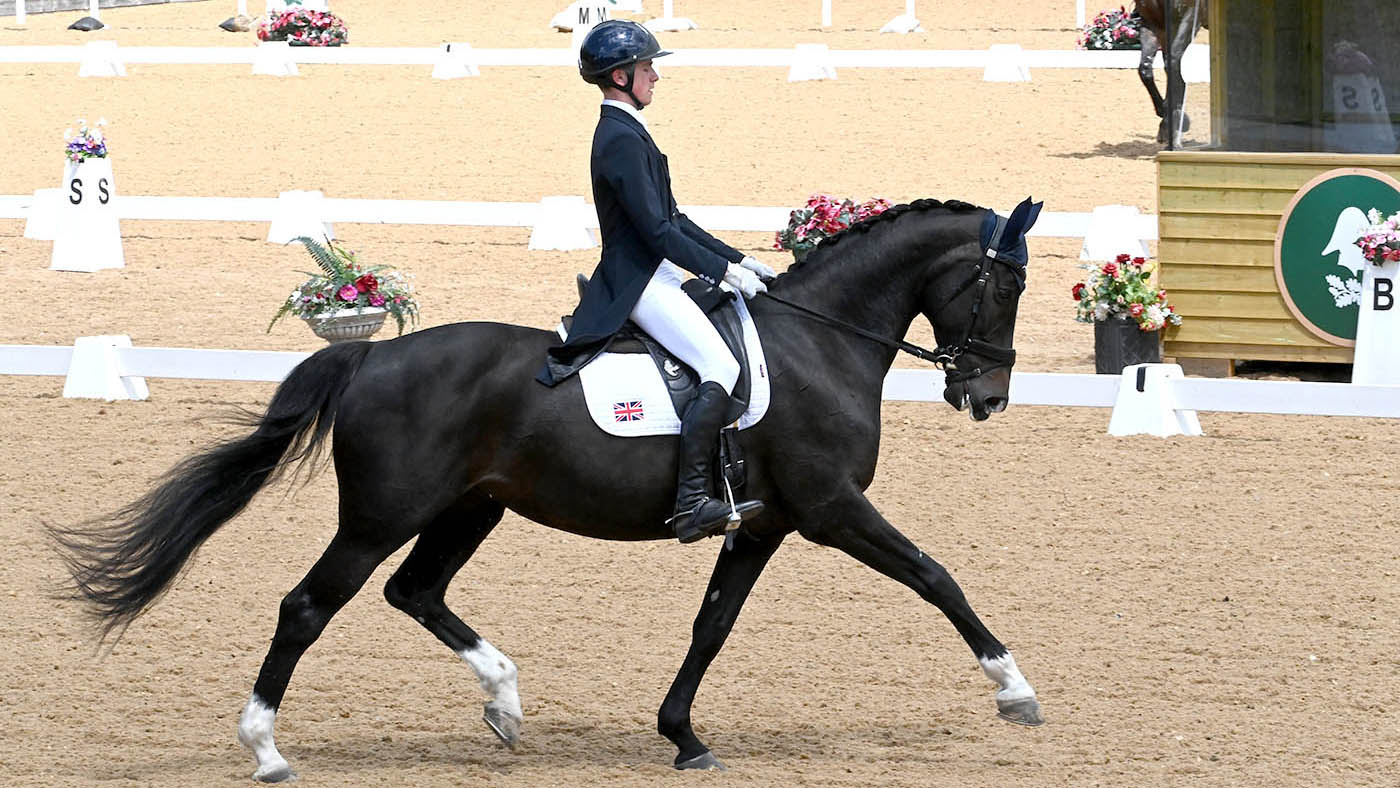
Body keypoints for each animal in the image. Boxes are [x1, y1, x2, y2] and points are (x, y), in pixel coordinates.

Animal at [48, 196, 1046, 781]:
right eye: (1003, 286)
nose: (987, 395)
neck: (821, 341)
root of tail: (370, 355)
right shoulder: (833, 509)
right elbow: (936, 576)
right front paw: (1015, 690)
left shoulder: (762, 525)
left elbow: (712, 624)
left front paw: (682, 734)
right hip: (382, 516)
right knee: (308, 606)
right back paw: (265, 748)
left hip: (470, 507)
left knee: (416, 591)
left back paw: (505, 701)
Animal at [1135, 0, 1208, 147]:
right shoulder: (1153, 23)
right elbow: (1146, 69)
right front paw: (1169, 122)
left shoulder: (1189, 15)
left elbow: (1174, 61)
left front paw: (1178, 121)